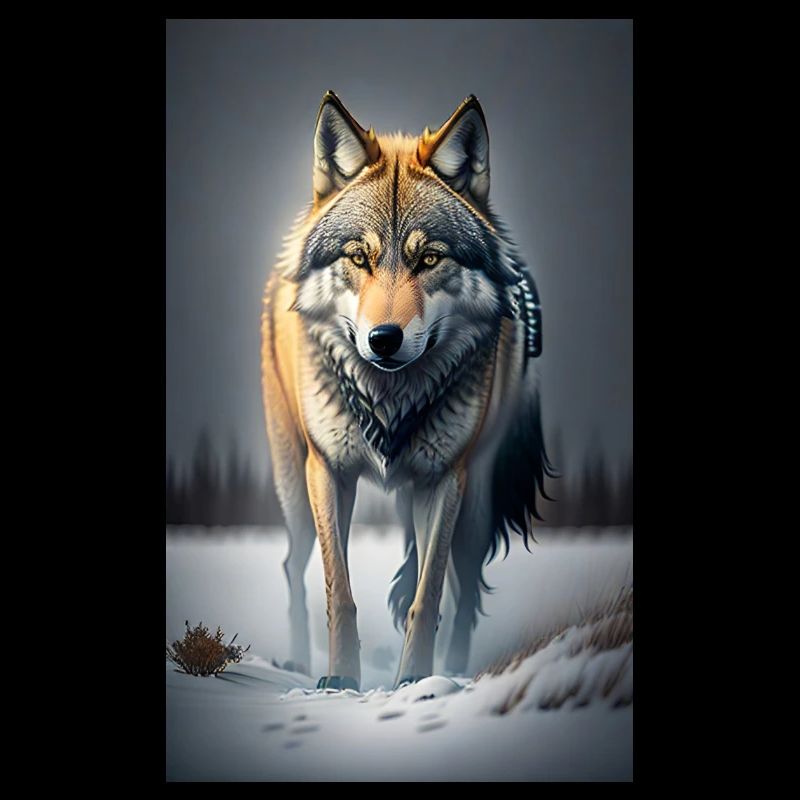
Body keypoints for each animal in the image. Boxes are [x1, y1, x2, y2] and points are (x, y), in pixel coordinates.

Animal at [261, 91, 553, 691]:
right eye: (358, 257)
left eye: (429, 258)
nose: (384, 339)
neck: (389, 400)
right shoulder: (328, 472)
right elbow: (340, 590)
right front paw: (340, 679)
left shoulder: (445, 480)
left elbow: (429, 593)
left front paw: (416, 680)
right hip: (293, 489)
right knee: (292, 565)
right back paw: (297, 660)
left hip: (476, 503)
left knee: (465, 589)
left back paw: (459, 667)